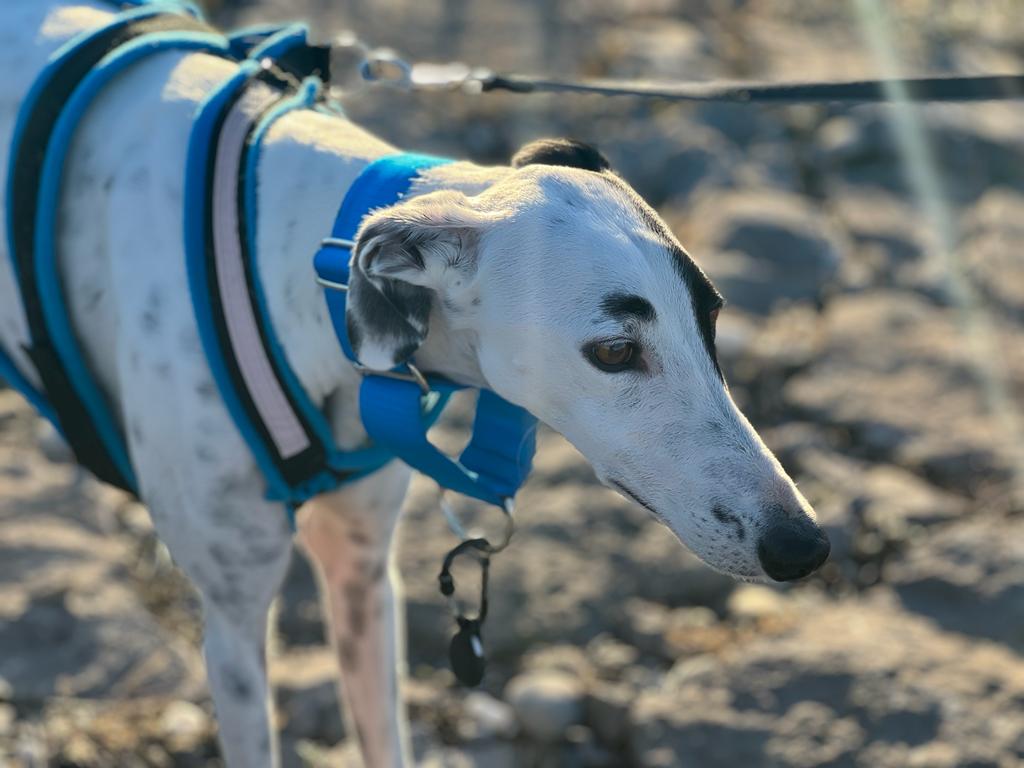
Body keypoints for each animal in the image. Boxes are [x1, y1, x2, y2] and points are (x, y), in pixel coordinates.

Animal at [0, 1, 829, 765]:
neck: (279, 253)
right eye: (617, 350)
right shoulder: (234, 622)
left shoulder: (364, 575)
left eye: (712, 317)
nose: (806, 546)